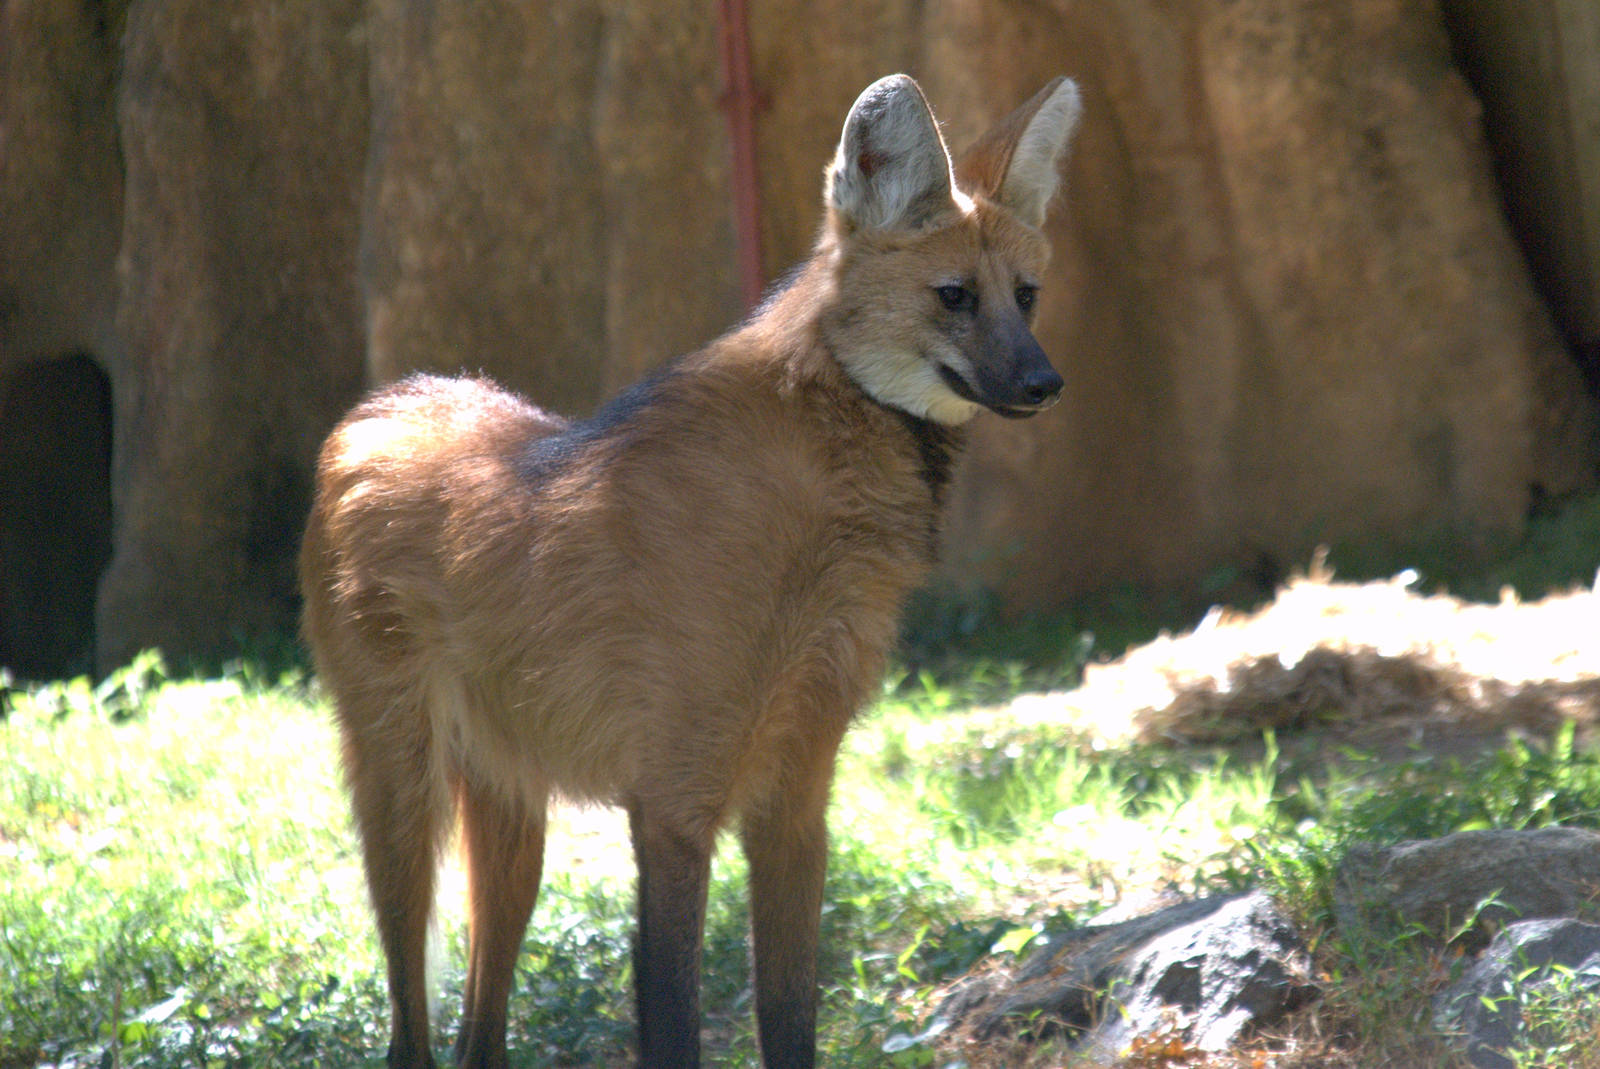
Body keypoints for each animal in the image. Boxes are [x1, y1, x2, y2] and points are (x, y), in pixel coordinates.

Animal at [299, 72, 1082, 1069]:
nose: (1045, 384)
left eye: (1026, 295)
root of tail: (378, 402)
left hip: (514, 805)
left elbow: (789, 1010)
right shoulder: (675, 798)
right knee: (409, 1020)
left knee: (482, 1024)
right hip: (404, 790)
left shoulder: (795, 795)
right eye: (953, 295)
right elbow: (674, 1012)